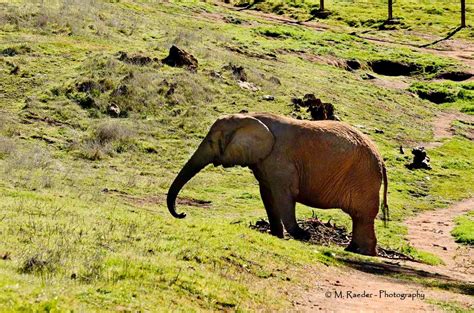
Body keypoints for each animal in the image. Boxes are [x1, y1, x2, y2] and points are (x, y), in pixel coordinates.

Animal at [168, 113, 388, 255]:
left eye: (212, 142)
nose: (182, 214)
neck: (251, 117)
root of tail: (381, 159)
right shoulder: (264, 163)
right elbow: (267, 195)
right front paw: (277, 235)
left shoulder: (281, 161)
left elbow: (284, 195)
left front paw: (303, 236)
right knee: (359, 217)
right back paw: (352, 249)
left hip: (363, 177)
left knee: (362, 216)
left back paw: (362, 252)